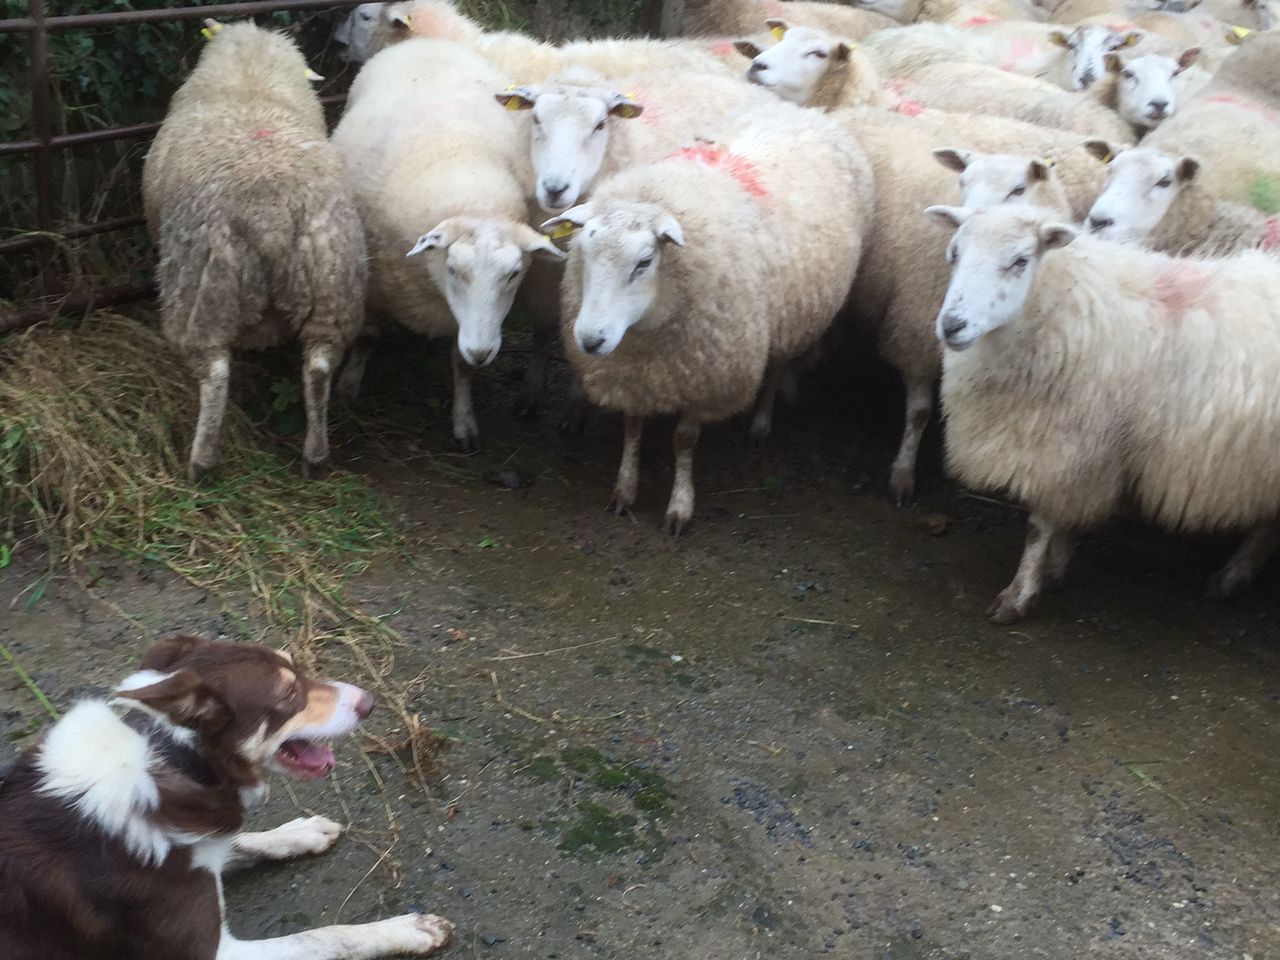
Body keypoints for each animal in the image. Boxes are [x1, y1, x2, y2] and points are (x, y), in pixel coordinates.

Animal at [142, 22, 365, 483]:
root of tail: (271, 218)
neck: (252, 80)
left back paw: (201, 463)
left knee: (215, 373)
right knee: (319, 368)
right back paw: (315, 455)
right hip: (332, 286)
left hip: (203, 289)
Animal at [331, 38, 564, 451]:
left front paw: (464, 421)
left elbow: (461, 363)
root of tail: (426, 41)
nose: (483, 352)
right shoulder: (374, 280)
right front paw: (348, 386)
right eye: (454, 269)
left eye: (514, 274)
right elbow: (368, 336)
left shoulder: (468, 322)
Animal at [541, 107, 872, 534]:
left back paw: (760, 423)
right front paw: (624, 490)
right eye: (582, 250)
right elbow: (633, 427)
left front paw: (680, 505)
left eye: (644, 262)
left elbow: (684, 439)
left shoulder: (708, 376)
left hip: (791, 316)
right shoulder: (632, 374)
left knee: (778, 365)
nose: (590, 340)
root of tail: (811, 114)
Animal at [830, 106, 1110, 503]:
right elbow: (919, 412)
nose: (964, 230)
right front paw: (903, 473)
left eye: (1018, 189)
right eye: (963, 182)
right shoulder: (917, 334)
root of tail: (858, 110)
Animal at [925, 203, 1280, 621]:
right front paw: (1056, 567)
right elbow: (1060, 519)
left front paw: (1021, 594)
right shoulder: (1075, 450)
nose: (952, 325)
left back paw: (1233, 576)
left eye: (1020, 260)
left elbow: (1039, 525)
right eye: (954, 253)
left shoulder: (1065, 441)